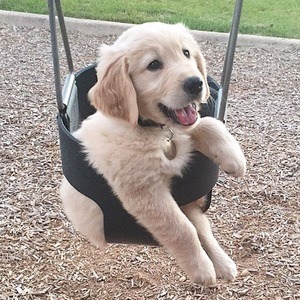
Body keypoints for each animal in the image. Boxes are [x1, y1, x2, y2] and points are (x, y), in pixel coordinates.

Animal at [59, 22, 245, 284]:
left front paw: (234, 158)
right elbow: (181, 229)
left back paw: (223, 263)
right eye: (154, 65)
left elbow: (207, 123)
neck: (152, 129)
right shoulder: (145, 192)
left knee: (203, 227)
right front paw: (201, 270)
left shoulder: (183, 134)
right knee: (195, 226)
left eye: (186, 53)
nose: (196, 83)